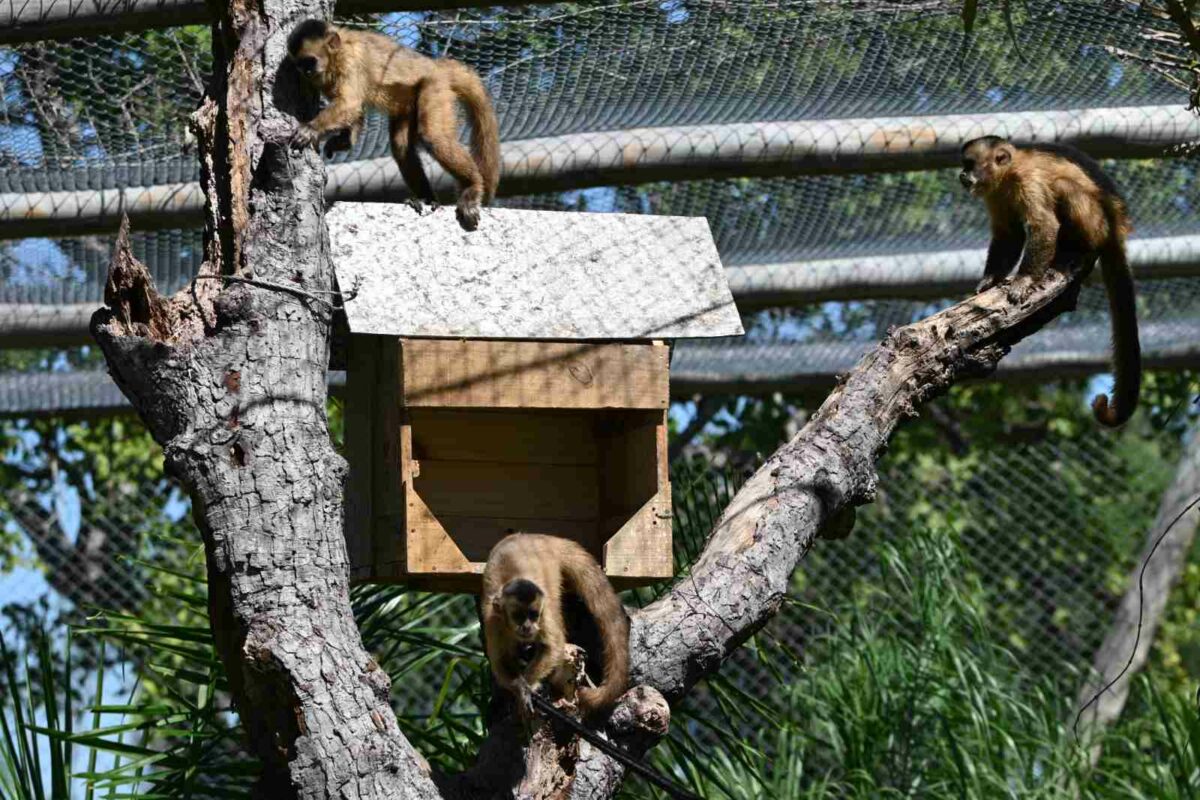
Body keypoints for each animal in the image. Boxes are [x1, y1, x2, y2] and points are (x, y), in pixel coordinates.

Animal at [286, 19, 501, 231]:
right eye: (300, 64)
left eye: (310, 61)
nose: (306, 71)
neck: (337, 53)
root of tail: (436, 65)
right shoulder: (322, 80)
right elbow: (355, 108)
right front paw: (344, 141)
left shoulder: (350, 61)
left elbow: (350, 103)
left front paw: (311, 129)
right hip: (409, 102)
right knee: (401, 146)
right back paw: (424, 198)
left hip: (436, 86)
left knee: (434, 137)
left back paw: (471, 186)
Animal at [480, 534, 628, 724]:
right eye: (518, 616)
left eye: (533, 615)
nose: (527, 626)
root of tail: (540, 537)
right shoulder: (494, 621)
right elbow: (500, 659)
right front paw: (520, 688)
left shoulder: (544, 615)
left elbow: (553, 646)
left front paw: (528, 688)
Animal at [955, 138, 1142, 429]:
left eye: (970, 164)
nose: (962, 175)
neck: (1009, 174)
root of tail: (1117, 225)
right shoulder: (994, 193)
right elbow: (1009, 234)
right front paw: (988, 282)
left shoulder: (1028, 179)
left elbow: (1044, 226)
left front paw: (1023, 281)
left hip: (1097, 223)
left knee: (1064, 188)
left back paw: (1074, 251)